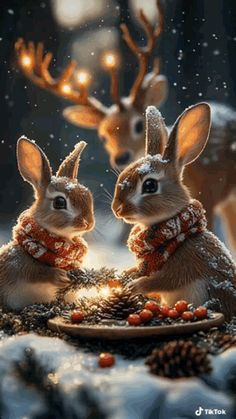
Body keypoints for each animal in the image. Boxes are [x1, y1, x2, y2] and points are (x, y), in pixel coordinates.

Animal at [0, 138, 94, 312]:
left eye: (87, 196)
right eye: (59, 202)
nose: (88, 223)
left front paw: (79, 272)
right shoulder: (18, 267)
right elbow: (36, 273)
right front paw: (61, 277)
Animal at [112, 103, 236, 320]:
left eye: (150, 185)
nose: (117, 209)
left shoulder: (186, 262)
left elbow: (165, 280)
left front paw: (135, 286)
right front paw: (125, 274)